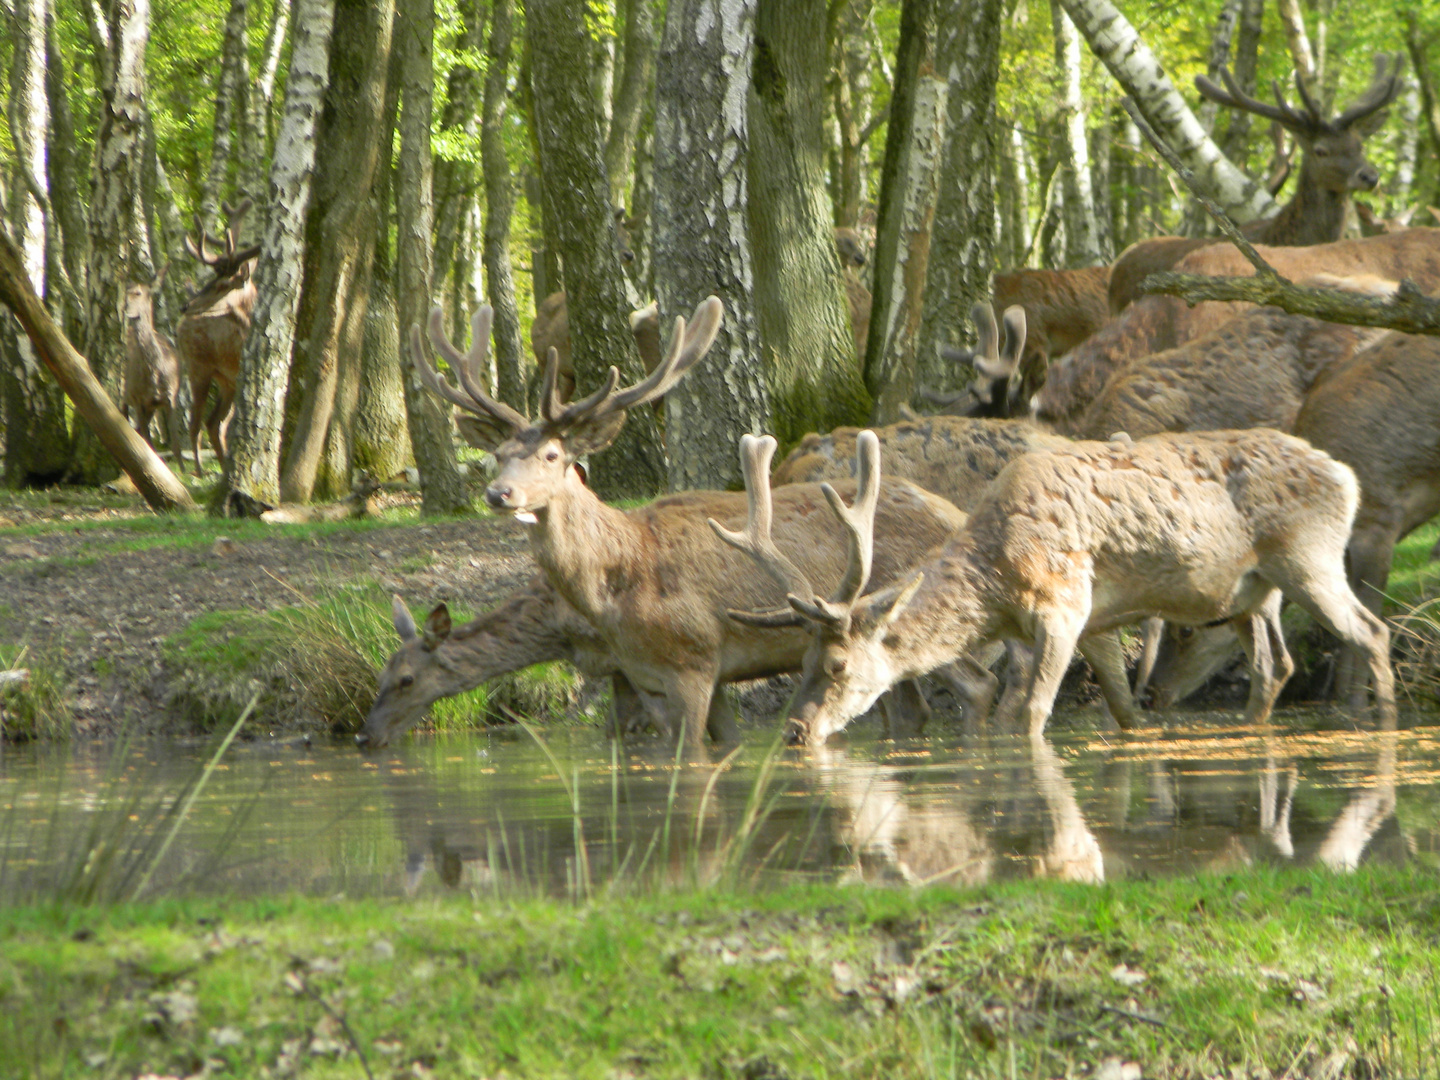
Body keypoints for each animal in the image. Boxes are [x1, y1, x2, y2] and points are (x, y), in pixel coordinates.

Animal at [120, 264, 181, 455]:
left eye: (138, 293)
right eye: (125, 292)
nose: (125, 309)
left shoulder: (171, 397)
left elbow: (176, 446)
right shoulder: (139, 399)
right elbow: (146, 443)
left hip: (151, 408)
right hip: (127, 391)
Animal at [176, 203, 262, 472]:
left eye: (223, 284)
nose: (185, 306)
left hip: (226, 380)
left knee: (214, 423)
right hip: (199, 367)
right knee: (198, 421)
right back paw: (198, 472)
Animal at [411, 296, 1008, 754]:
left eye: (554, 454)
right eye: (499, 455)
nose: (499, 493)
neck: (618, 580)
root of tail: (956, 514)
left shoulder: (693, 660)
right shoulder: (650, 675)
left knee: (979, 685)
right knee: (906, 710)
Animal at [731, 426, 1393, 748]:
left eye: (838, 665)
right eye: (803, 659)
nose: (794, 731)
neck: (997, 583)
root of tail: (1345, 474)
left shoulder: (1064, 604)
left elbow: (1032, 712)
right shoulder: (1093, 620)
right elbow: (1120, 705)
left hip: (1309, 557)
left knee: (1372, 631)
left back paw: (1385, 724)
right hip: (1252, 591)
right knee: (1274, 665)